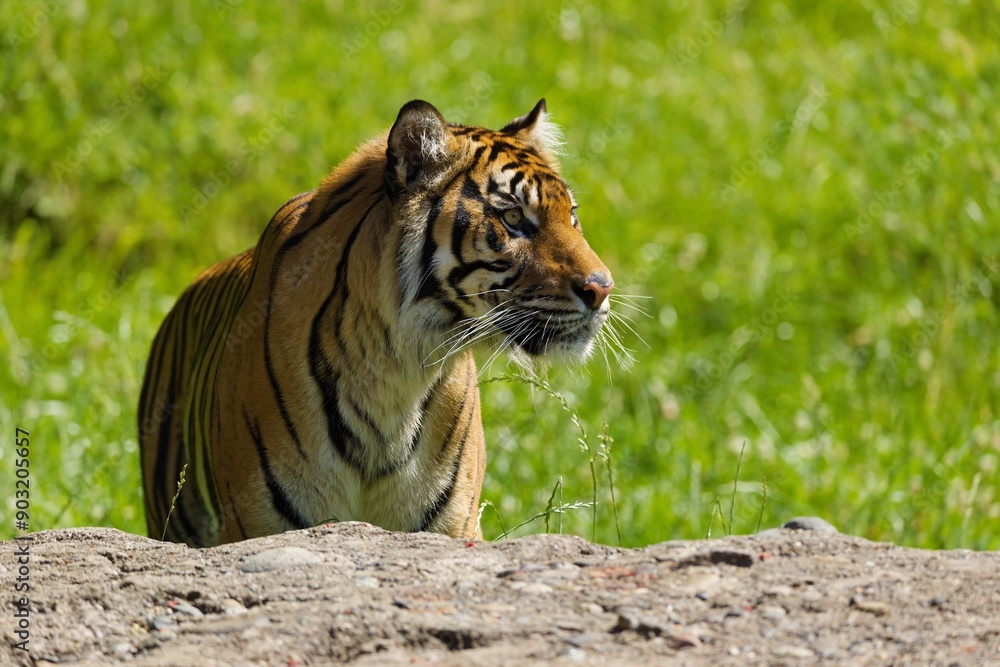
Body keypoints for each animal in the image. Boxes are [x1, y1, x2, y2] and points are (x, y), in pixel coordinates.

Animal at [138, 99, 614, 547]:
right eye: (513, 217)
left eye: (572, 216)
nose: (603, 288)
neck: (394, 369)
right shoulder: (253, 521)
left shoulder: (453, 525)